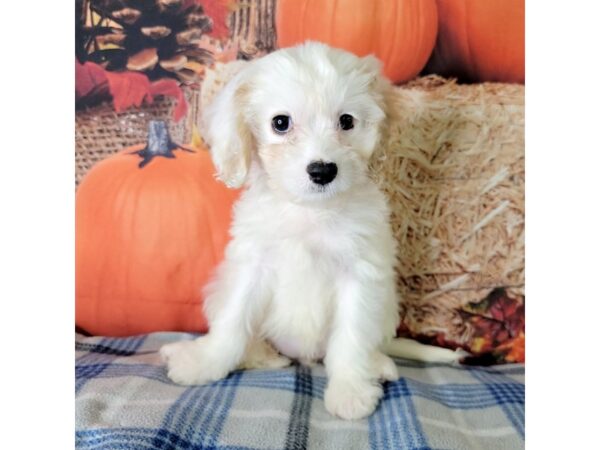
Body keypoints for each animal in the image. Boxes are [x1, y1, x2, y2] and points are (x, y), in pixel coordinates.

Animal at [161, 40, 464, 420]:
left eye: (346, 121)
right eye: (280, 123)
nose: (322, 170)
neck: (310, 211)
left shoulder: (360, 274)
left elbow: (351, 337)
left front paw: (350, 390)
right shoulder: (252, 266)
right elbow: (232, 320)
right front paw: (205, 363)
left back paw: (378, 365)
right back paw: (260, 355)